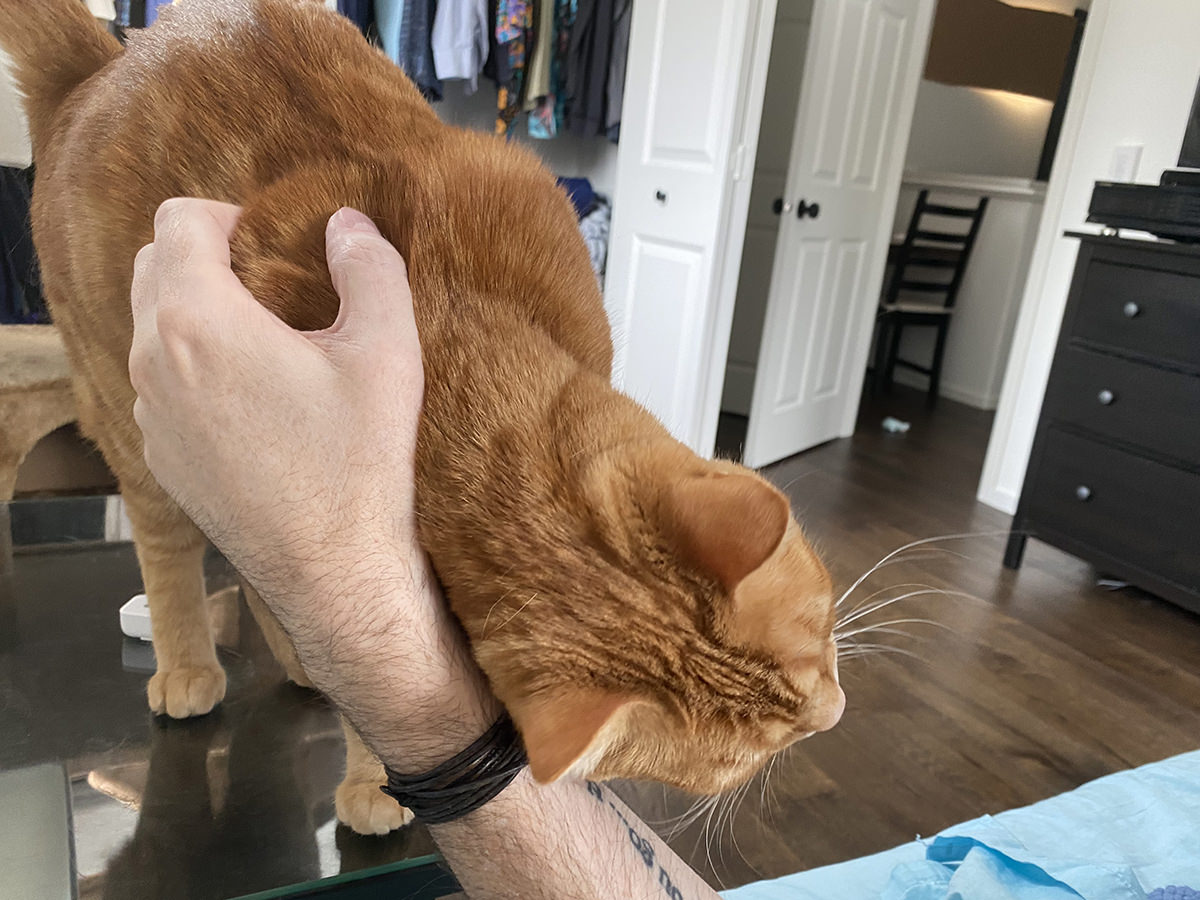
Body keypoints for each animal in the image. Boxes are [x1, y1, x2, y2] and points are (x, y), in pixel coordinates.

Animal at [0, 0, 844, 835]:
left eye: (823, 648)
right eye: (741, 760)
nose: (835, 713)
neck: (452, 326)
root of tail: (107, 60)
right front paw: (373, 783)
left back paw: (299, 662)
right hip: (131, 421)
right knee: (171, 550)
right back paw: (188, 668)